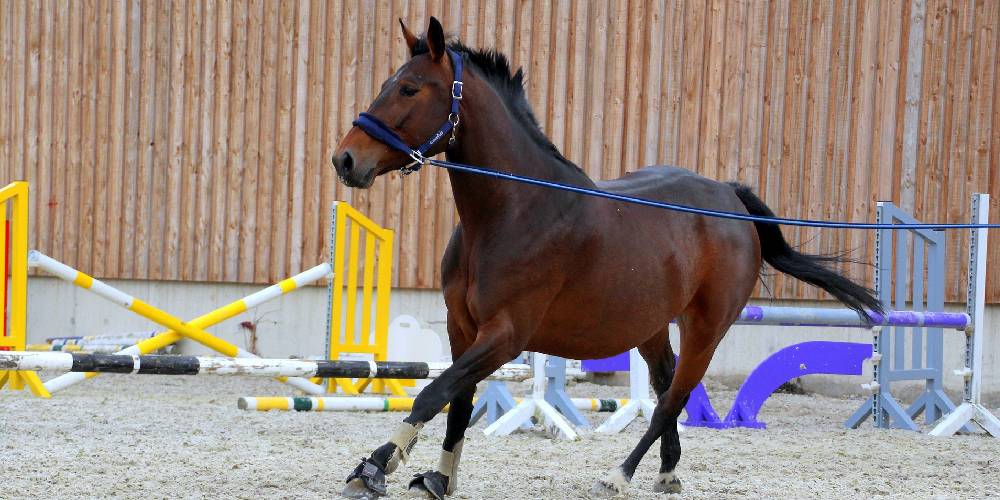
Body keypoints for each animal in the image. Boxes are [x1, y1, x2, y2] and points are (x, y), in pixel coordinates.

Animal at [332, 17, 882, 499]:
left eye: (409, 89)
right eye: (389, 83)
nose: (345, 159)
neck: (513, 211)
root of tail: (728, 197)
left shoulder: (505, 335)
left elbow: (433, 392)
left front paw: (374, 468)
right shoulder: (461, 328)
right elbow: (457, 404)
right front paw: (437, 480)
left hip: (707, 328)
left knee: (672, 399)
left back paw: (619, 476)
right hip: (653, 326)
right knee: (665, 384)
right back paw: (667, 472)